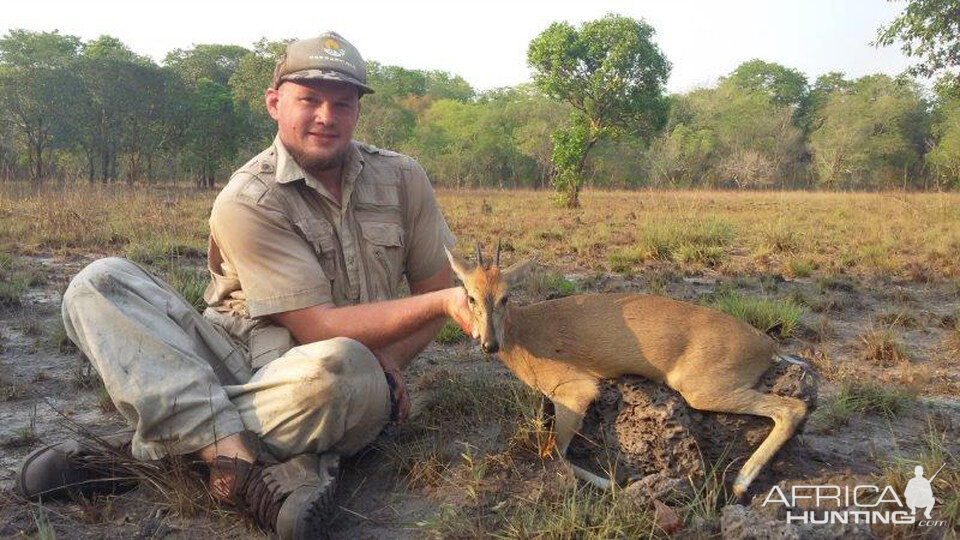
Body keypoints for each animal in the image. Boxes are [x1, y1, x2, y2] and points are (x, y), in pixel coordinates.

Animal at [446, 245, 808, 498]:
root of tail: (767, 343)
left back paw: (741, 483)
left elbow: (553, 453)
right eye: (470, 296)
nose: (489, 345)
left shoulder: (576, 394)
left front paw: (614, 484)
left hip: (704, 390)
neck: (525, 330)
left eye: (505, 297)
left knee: (793, 408)